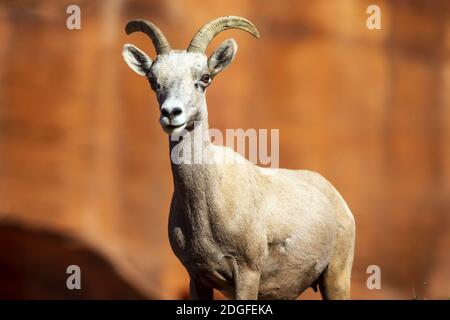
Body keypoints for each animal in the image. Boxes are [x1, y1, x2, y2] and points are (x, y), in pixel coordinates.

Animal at [123, 15, 356, 300]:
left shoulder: (247, 274)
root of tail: (339, 202)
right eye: (153, 80)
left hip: (336, 277)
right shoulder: (197, 278)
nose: (171, 114)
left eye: (205, 77)